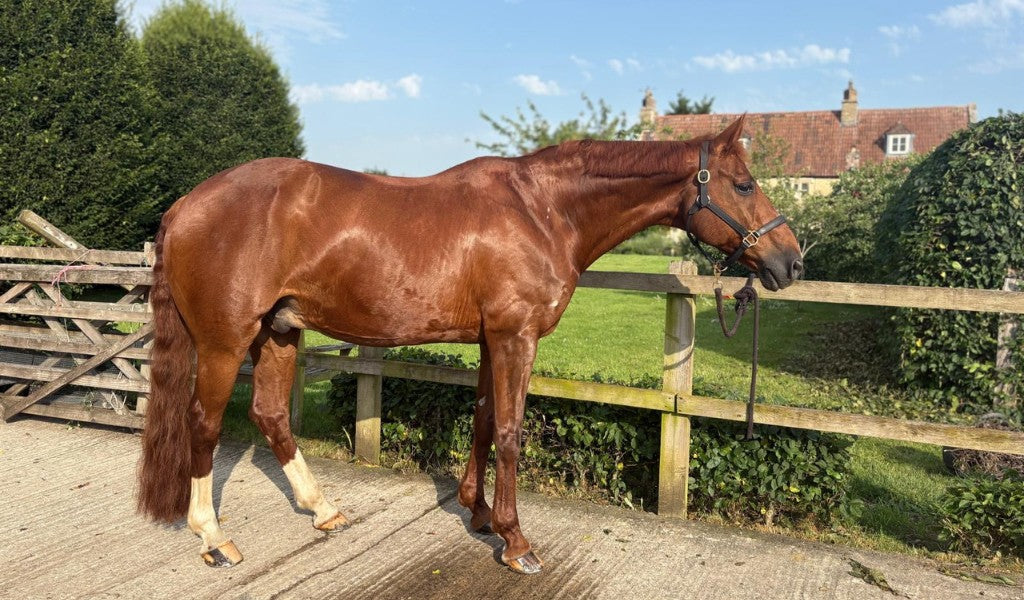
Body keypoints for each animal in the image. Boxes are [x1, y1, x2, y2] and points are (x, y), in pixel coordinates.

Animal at [137, 114, 802, 574]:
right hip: (225, 343)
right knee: (204, 423)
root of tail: (185, 205)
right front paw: (516, 540)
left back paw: (324, 509)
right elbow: (509, 432)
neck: (543, 211)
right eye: (744, 184)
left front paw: (479, 514)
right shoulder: (515, 337)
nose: (791, 261)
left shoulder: (491, 340)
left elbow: (483, 419)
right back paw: (214, 537)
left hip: (279, 332)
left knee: (270, 414)